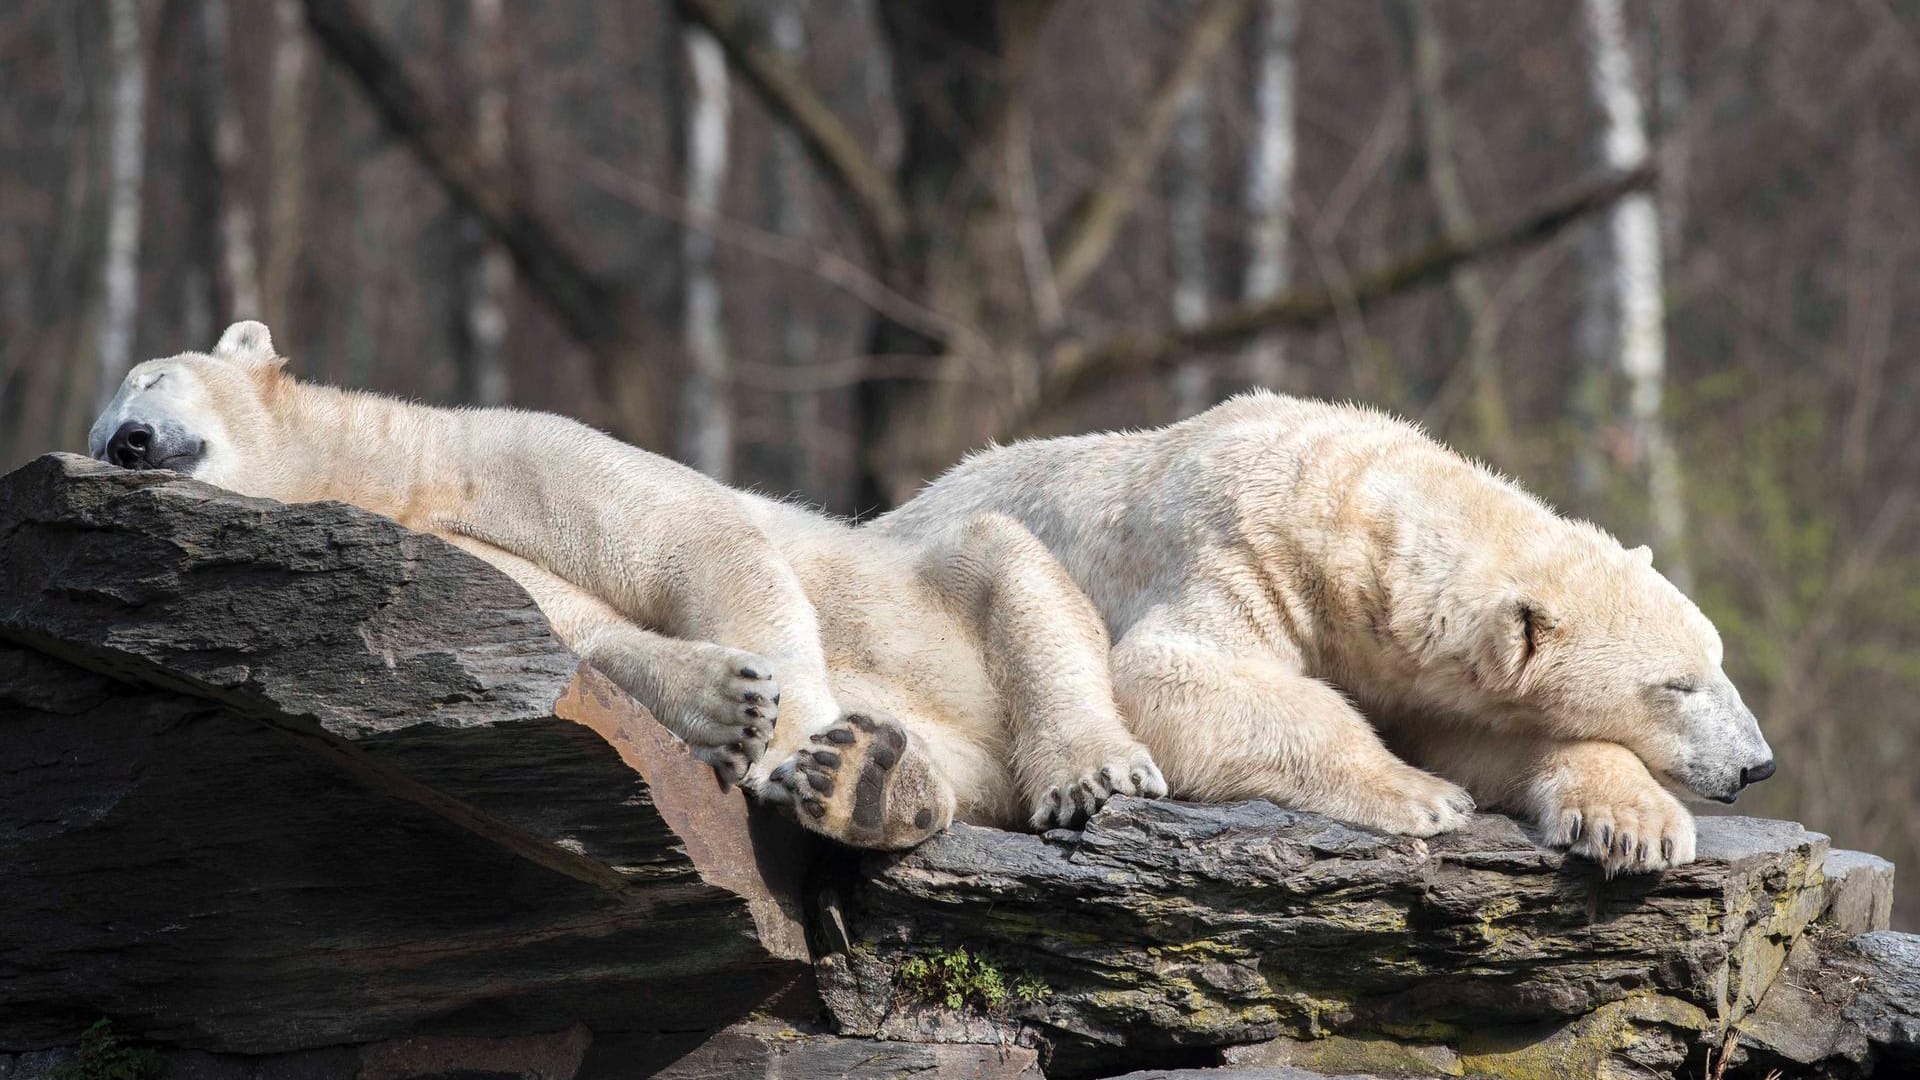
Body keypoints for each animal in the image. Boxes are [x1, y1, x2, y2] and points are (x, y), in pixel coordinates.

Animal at [90, 319, 1159, 849]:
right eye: (97, 431)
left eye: (149, 382)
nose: (124, 443)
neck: (387, 474)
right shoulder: (452, 550)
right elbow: (571, 635)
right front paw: (731, 707)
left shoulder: (496, 449)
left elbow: (691, 537)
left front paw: (791, 752)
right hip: (971, 755)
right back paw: (872, 783)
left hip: (947, 587)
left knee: (1002, 568)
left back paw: (1085, 770)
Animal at [879, 390, 1774, 868]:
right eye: (1676, 685)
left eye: (1719, 659)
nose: (1756, 763)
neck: (1343, 512)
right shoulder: (1236, 551)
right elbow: (1169, 674)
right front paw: (1423, 796)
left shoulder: (1407, 663)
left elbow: (1480, 735)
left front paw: (1637, 825)